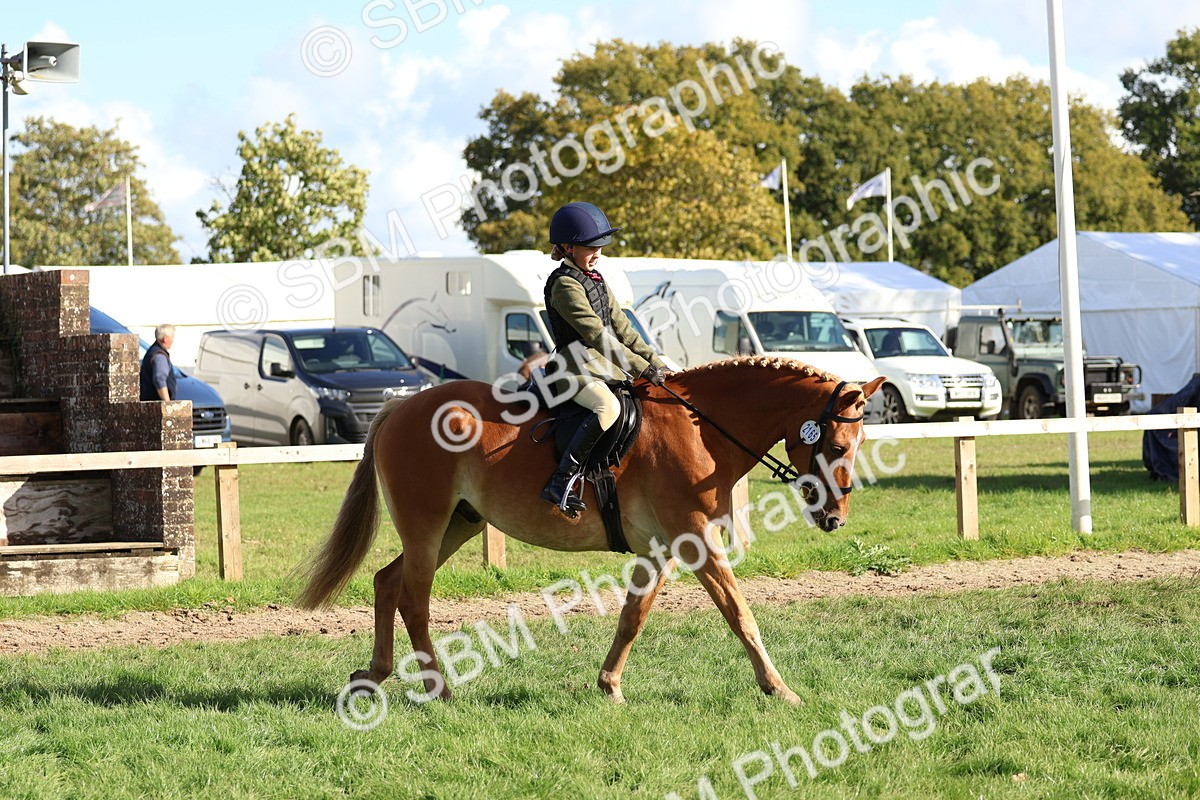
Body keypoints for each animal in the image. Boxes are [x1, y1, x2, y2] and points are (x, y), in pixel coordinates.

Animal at [297, 357, 885, 704]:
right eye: (836, 445)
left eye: (856, 446)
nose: (835, 518)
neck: (700, 428)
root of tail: (400, 407)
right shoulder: (697, 540)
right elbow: (740, 614)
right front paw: (778, 689)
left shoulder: (662, 548)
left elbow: (633, 617)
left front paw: (610, 686)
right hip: (427, 526)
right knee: (414, 600)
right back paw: (438, 689)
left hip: (456, 526)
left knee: (387, 583)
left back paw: (373, 675)